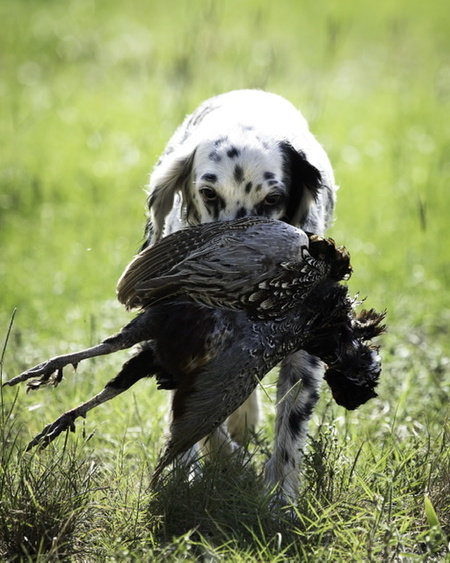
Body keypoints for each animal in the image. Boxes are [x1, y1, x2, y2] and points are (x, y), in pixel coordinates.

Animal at [142, 89, 336, 502]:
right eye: (208, 193)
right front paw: (223, 461)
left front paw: (280, 500)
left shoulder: (302, 350)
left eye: (273, 199)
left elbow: (288, 431)